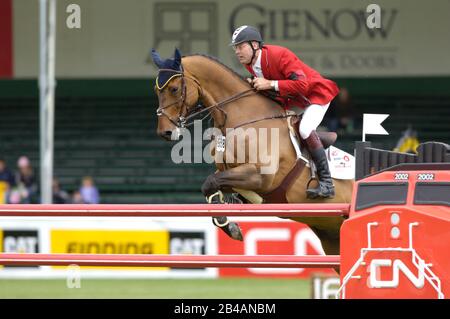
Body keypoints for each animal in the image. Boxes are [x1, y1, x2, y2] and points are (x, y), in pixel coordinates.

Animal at [152, 48, 356, 258]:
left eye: (174, 89)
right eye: (156, 90)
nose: (165, 132)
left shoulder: (260, 176)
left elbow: (210, 182)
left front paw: (230, 226)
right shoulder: (231, 173)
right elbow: (210, 187)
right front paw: (229, 224)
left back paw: (325, 187)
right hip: (331, 238)